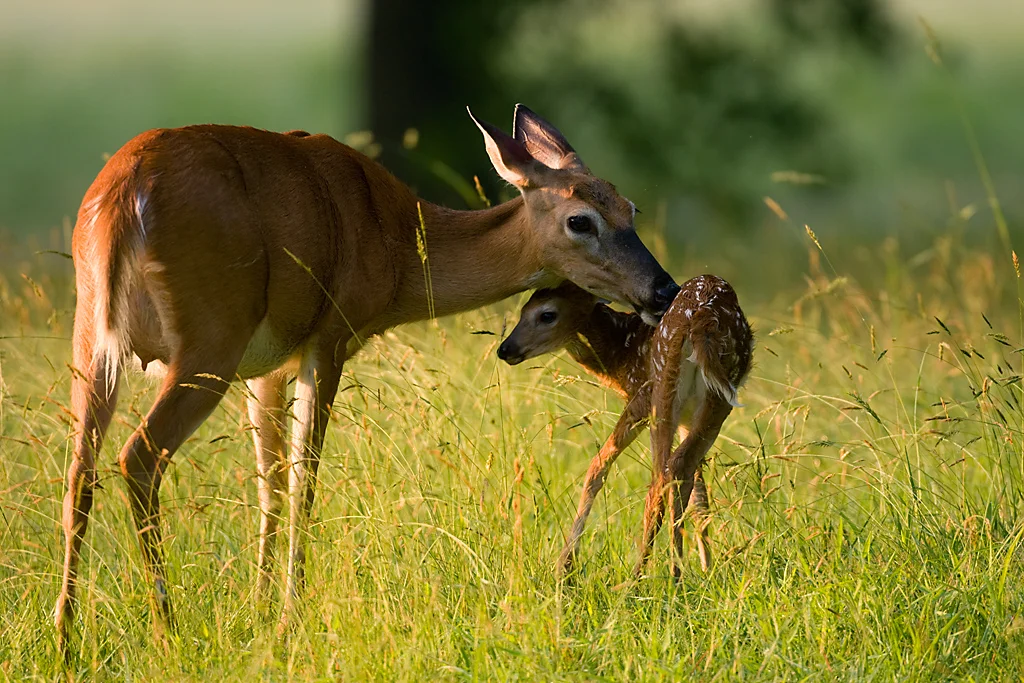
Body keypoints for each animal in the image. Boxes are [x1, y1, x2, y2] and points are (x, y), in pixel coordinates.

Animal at [56, 104, 681, 653]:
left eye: (630, 209)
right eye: (581, 220)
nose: (664, 290)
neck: (397, 241)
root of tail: (122, 196)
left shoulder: (269, 364)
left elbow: (269, 480)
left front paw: (258, 609)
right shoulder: (329, 337)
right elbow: (303, 480)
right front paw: (288, 616)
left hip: (94, 336)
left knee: (80, 467)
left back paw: (65, 636)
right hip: (210, 335)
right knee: (138, 455)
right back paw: (167, 628)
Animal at [497, 274, 752, 579]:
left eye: (547, 314)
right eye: (524, 309)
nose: (505, 349)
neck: (620, 353)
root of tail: (702, 318)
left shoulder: (639, 396)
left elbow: (597, 467)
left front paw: (565, 565)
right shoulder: (687, 418)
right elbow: (699, 493)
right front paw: (707, 566)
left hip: (661, 390)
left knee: (660, 476)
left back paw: (645, 575)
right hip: (710, 398)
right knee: (679, 468)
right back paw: (675, 571)